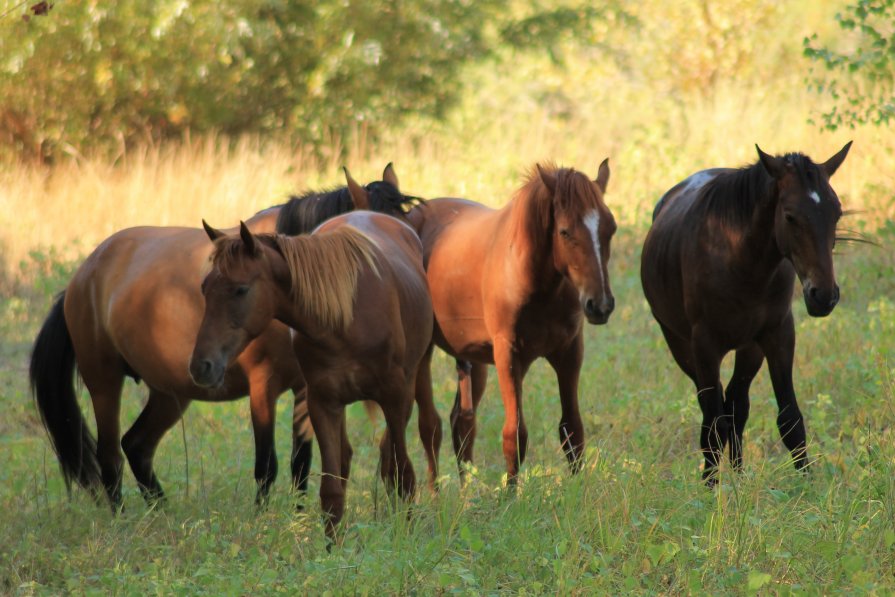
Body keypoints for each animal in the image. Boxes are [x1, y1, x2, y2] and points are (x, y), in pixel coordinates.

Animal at [28, 164, 412, 508]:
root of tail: (82, 277)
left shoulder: (306, 388)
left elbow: (300, 463)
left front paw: (300, 520)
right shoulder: (263, 387)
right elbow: (266, 466)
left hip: (170, 392)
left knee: (136, 446)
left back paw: (161, 513)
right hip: (104, 383)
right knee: (110, 457)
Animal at [192, 211, 434, 536]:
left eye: (240, 289)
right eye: (204, 288)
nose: (200, 366)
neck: (345, 319)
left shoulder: (396, 399)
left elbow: (403, 474)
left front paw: (404, 534)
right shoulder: (322, 403)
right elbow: (331, 491)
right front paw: (334, 547)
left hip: (415, 379)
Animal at [406, 161, 616, 482]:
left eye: (611, 228)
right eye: (565, 232)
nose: (600, 305)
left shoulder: (568, 353)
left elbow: (572, 429)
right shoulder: (508, 355)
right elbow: (514, 436)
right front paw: (510, 492)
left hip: (471, 359)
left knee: (462, 423)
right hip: (424, 354)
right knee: (430, 426)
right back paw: (434, 491)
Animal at [636, 143, 856, 484]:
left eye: (836, 213)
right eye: (790, 216)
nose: (824, 296)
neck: (739, 259)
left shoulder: (778, 334)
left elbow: (789, 418)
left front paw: (808, 483)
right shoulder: (703, 345)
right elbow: (712, 425)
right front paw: (710, 488)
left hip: (749, 348)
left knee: (735, 405)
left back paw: (738, 474)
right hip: (681, 346)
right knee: (715, 409)